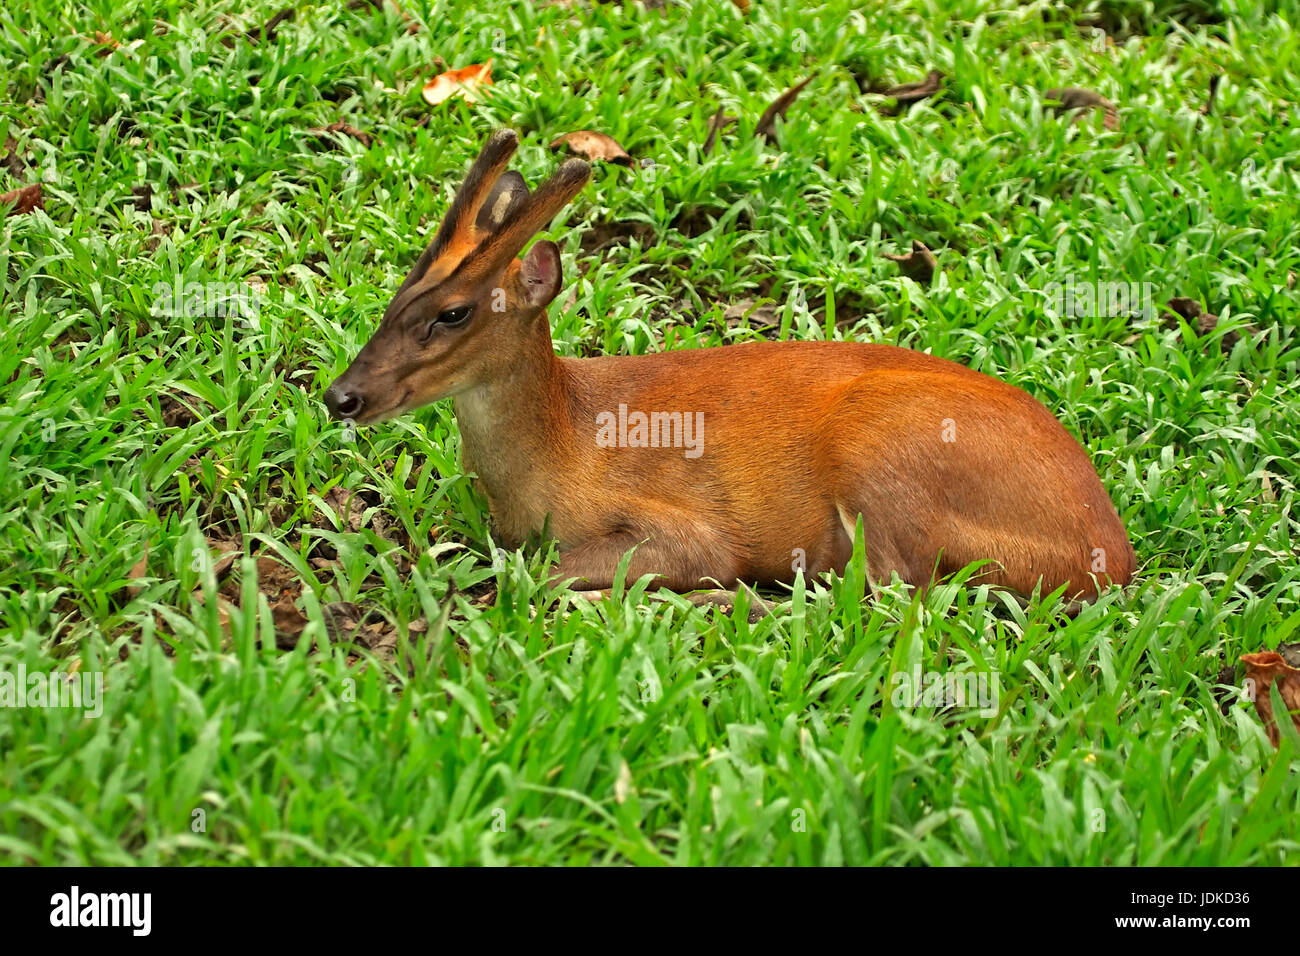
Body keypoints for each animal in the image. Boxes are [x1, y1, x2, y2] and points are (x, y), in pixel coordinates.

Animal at [325, 128, 1138, 606]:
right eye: (397, 293)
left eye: (453, 313)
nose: (342, 397)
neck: (564, 441)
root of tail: (1112, 558)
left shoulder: (689, 525)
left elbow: (543, 570)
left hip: (882, 445)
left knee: (886, 594)